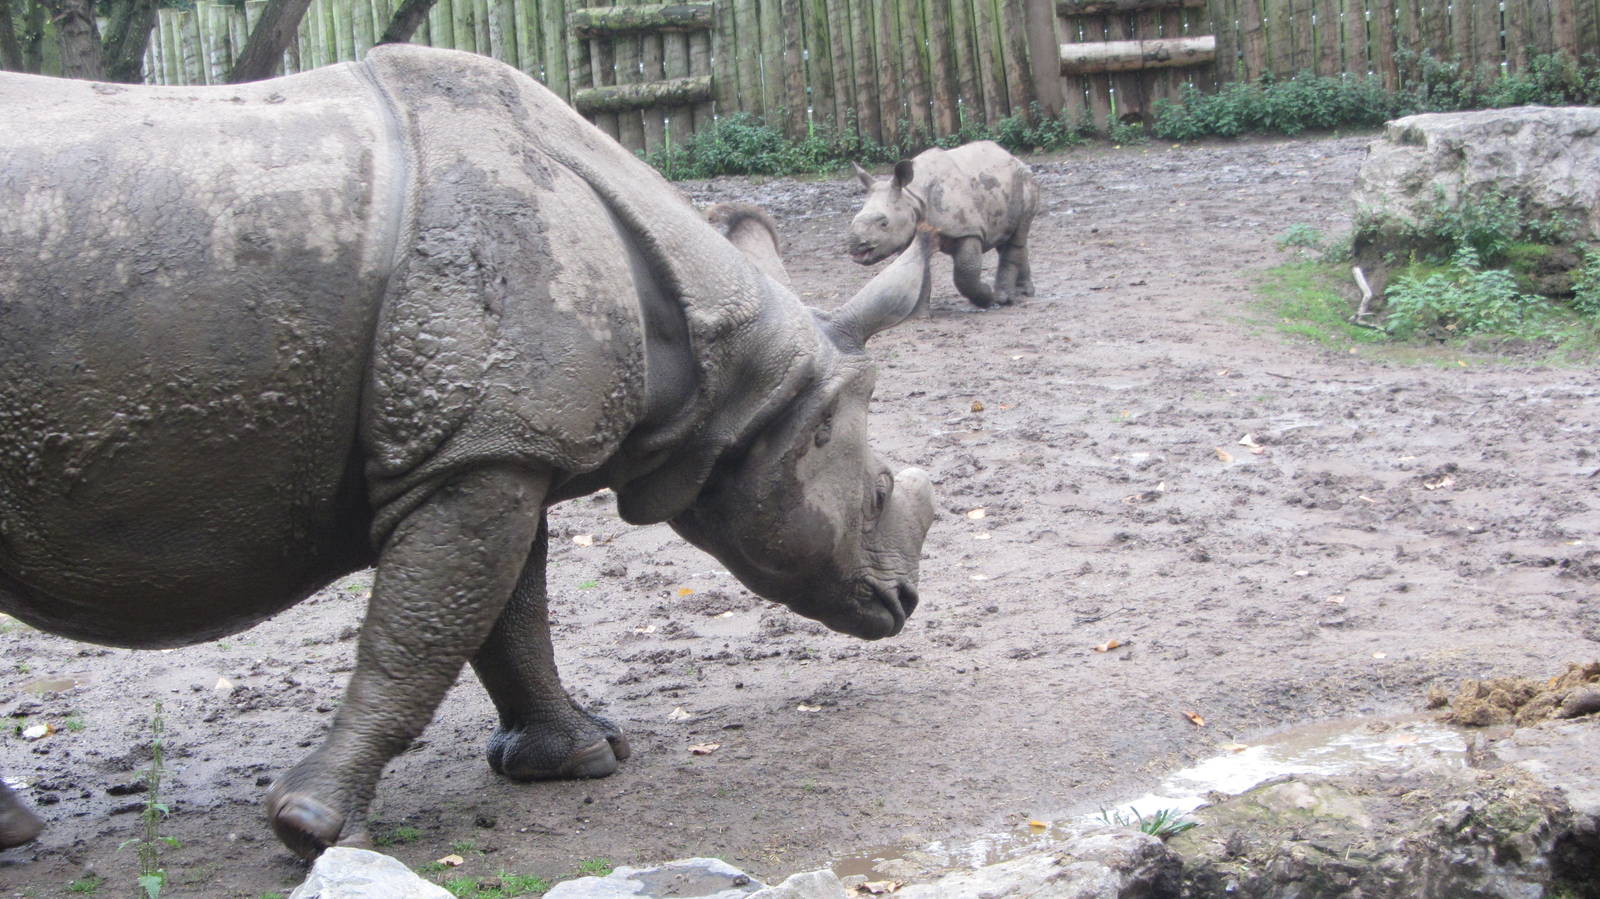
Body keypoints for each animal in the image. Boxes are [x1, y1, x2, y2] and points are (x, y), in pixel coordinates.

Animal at [0, 45, 937, 859]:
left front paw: (580, 756)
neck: (739, 375)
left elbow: (506, 615)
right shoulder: (480, 452)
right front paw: (311, 827)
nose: (903, 602)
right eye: (878, 490)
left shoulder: (499, 444)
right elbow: (424, 630)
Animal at [848, 140, 1039, 308]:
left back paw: (1004, 299)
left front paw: (986, 297)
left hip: (1025, 182)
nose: (855, 246)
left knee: (1016, 236)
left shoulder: (968, 230)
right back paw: (1024, 293)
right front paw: (920, 312)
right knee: (1007, 236)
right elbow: (919, 269)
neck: (911, 197)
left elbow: (965, 272)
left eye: (884, 223)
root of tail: (1012, 157)